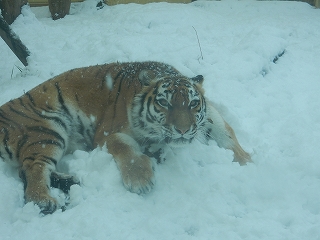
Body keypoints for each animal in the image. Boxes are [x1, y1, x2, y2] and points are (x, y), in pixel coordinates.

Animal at [0, 61, 250, 213]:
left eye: (193, 103)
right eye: (164, 103)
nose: (182, 130)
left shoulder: (208, 117)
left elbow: (226, 132)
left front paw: (247, 162)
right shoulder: (107, 133)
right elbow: (125, 148)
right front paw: (141, 180)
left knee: (24, 170)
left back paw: (71, 181)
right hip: (47, 130)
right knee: (33, 171)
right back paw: (46, 200)